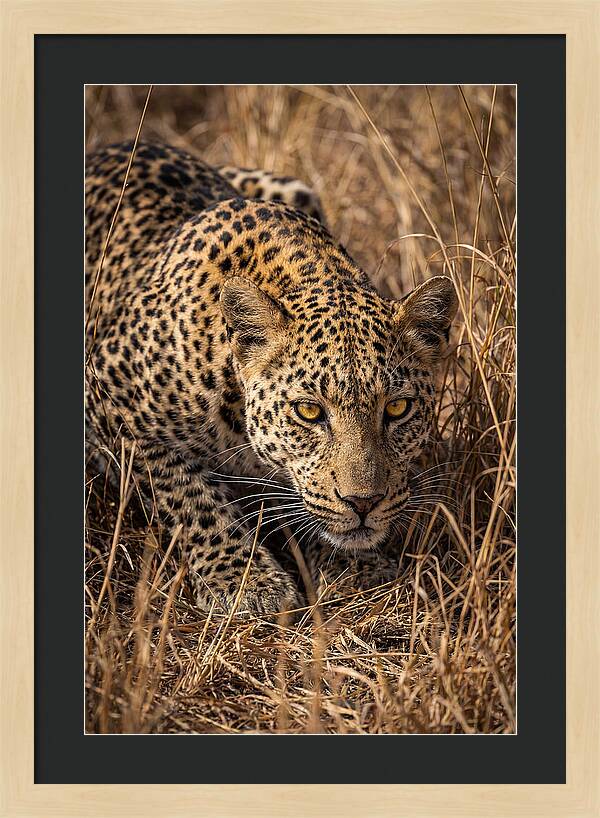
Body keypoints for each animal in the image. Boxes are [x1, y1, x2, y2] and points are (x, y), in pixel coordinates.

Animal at [85, 140, 458, 616]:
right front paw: (245, 581)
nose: (363, 503)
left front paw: (355, 567)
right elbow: (188, 494)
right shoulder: (107, 396)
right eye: (308, 411)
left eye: (397, 408)